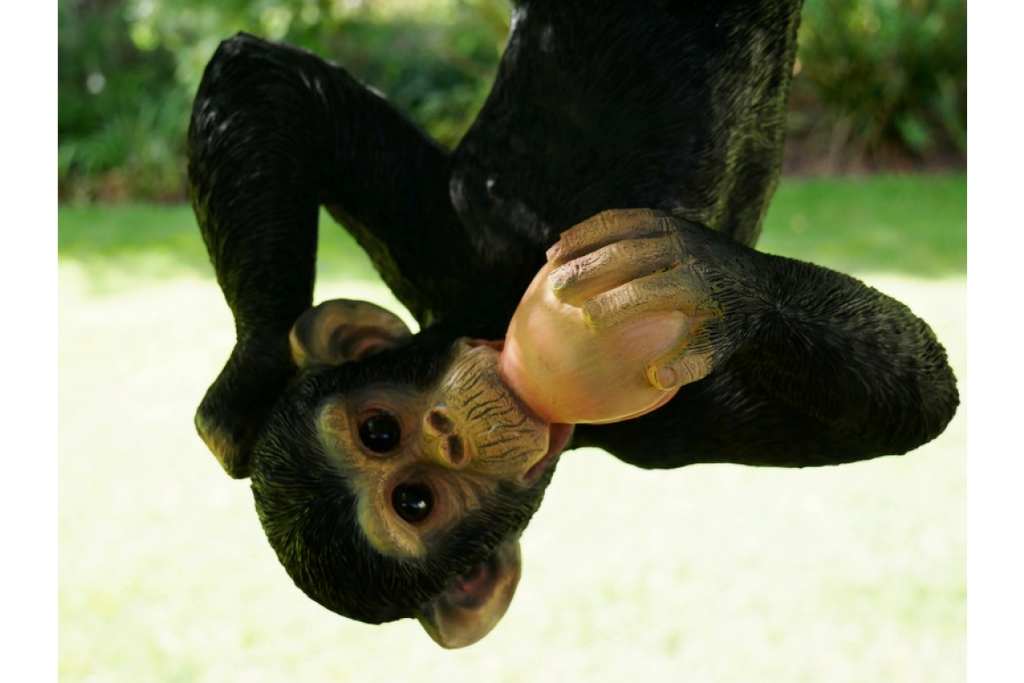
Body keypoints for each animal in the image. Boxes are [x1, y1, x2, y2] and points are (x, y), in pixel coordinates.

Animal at [188, 0, 959, 648]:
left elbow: (273, 86)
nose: (448, 432)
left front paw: (247, 388)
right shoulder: (668, 430)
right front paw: (724, 286)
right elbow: (914, 407)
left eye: (378, 430)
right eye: (414, 501)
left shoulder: (450, 243)